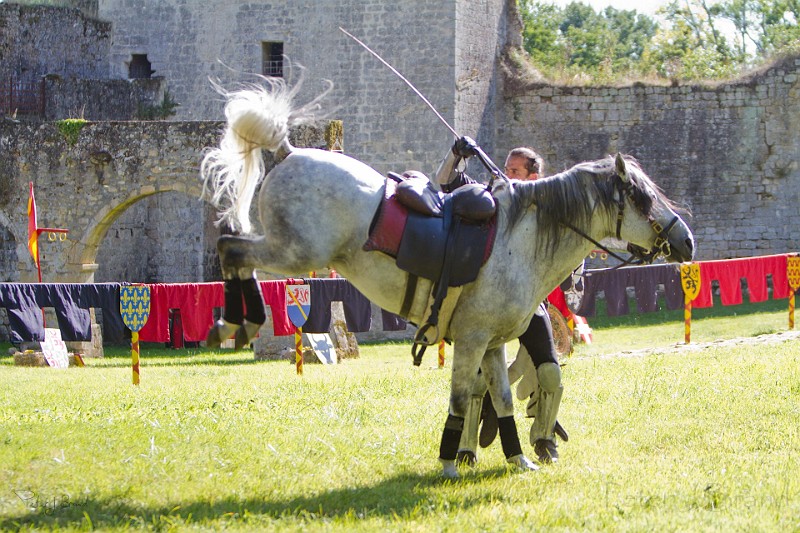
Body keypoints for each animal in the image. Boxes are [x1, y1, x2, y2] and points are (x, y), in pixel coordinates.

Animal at [200, 79, 692, 478]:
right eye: (641, 197)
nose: (686, 240)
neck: (519, 239)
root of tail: (289, 152)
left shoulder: (491, 345)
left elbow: (503, 400)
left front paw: (519, 458)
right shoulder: (471, 341)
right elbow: (460, 400)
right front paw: (449, 463)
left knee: (233, 250)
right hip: (295, 253)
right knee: (232, 248)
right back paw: (236, 322)